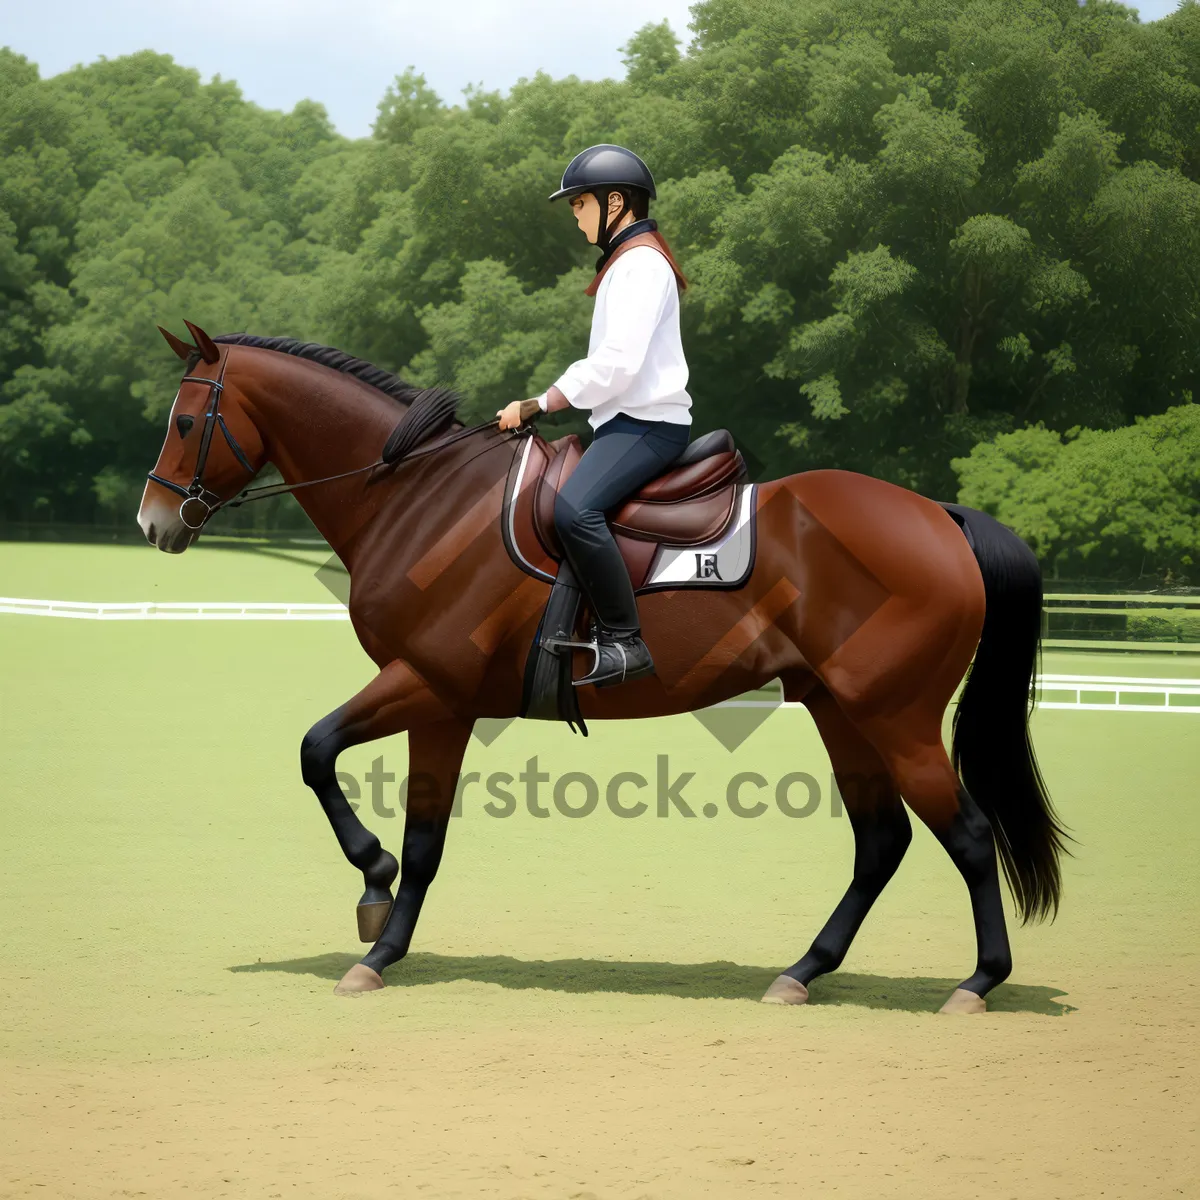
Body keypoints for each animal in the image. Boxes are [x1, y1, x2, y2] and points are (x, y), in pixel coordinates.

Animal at [140, 321, 1070, 1012]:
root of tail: (939, 515)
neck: (422, 499)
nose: (155, 521)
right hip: (839, 709)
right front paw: (385, 941)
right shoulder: (444, 705)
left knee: (968, 834)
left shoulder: (425, 681)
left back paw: (979, 982)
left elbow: (316, 751)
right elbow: (425, 838)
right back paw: (803, 972)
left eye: (185, 423)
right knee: (882, 842)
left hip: (896, 717)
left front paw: (371, 884)